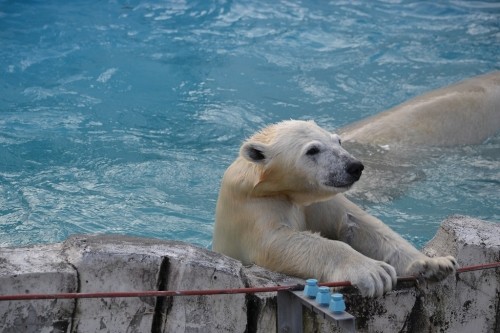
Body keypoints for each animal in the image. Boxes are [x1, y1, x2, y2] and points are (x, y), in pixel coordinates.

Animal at [211, 119, 458, 296]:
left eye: (338, 141)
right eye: (312, 150)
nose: (354, 166)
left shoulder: (317, 202)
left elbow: (357, 223)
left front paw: (434, 263)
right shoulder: (254, 208)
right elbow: (276, 242)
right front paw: (375, 272)